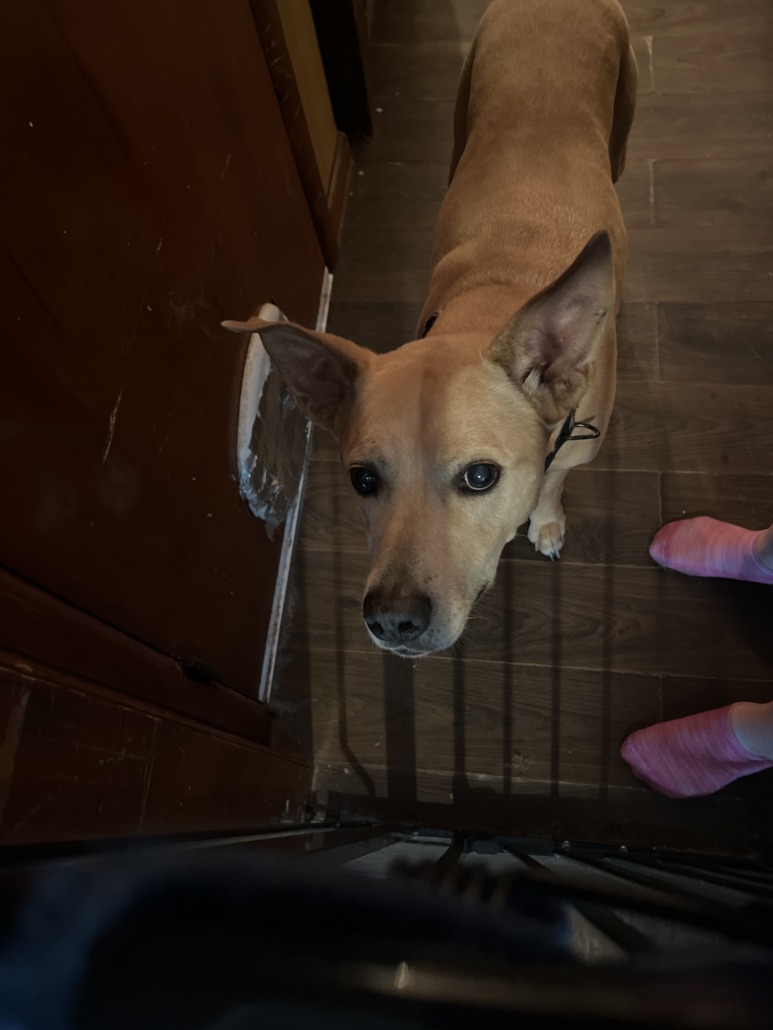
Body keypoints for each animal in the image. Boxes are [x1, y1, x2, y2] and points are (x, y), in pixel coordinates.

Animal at [223, 0, 637, 658]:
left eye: (479, 477)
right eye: (362, 479)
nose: (391, 619)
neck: (495, 301)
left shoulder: (579, 446)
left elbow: (553, 480)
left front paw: (545, 519)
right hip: (462, 110)